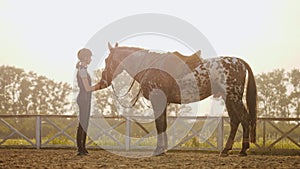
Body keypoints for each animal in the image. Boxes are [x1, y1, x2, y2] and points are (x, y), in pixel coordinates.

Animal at [97, 42, 256, 157]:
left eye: (107, 59)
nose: (104, 78)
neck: (149, 65)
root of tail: (239, 62)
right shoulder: (163, 102)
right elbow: (163, 125)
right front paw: (163, 149)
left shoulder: (157, 100)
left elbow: (159, 125)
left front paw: (158, 150)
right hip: (229, 98)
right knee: (235, 121)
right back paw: (226, 150)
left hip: (234, 98)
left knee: (244, 119)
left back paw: (242, 150)